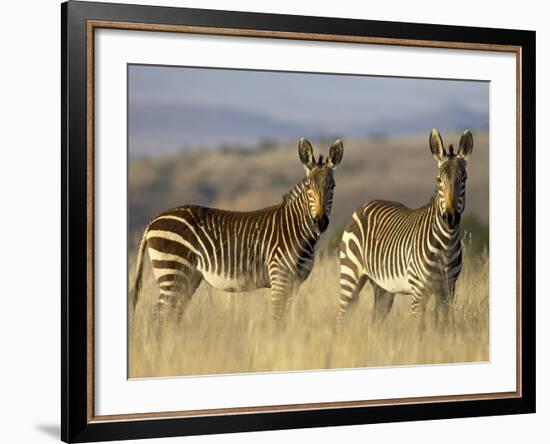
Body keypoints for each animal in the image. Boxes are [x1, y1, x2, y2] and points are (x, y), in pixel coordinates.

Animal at [131, 139, 342, 326]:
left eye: (332, 187)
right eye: (308, 187)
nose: (320, 222)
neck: (296, 230)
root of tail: (154, 219)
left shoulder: (295, 282)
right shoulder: (279, 278)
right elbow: (276, 319)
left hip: (187, 278)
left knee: (171, 317)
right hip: (172, 272)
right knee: (159, 318)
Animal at [336, 128, 474, 326]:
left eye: (464, 179)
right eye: (438, 180)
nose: (450, 217)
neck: (446, 245)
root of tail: (364, 205)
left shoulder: (448, 290)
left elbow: (444, 327)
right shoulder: (418, 292)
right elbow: (420, 329)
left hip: (383, 287)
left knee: (376, 318)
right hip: (350, 274)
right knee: (341, 316)